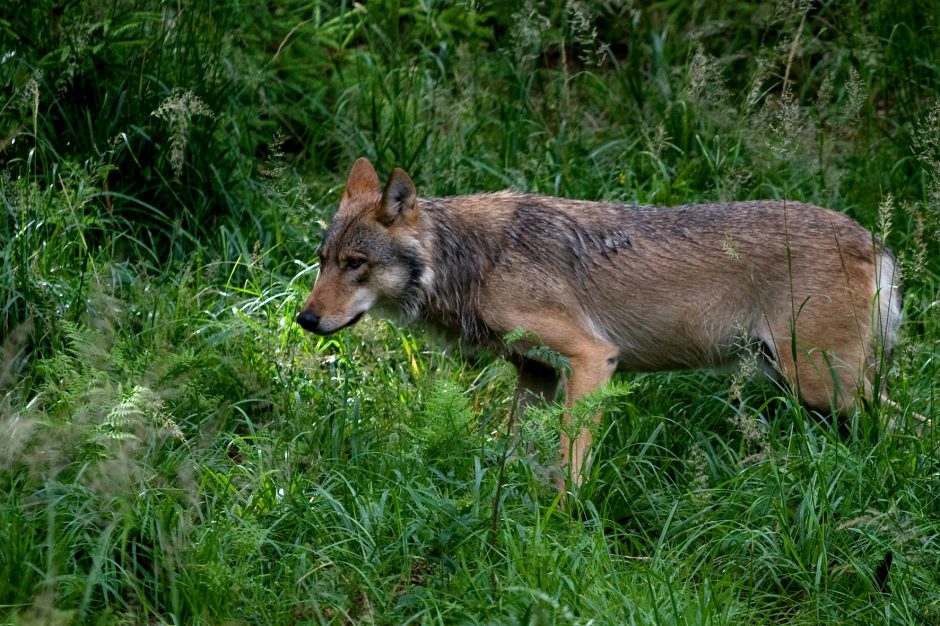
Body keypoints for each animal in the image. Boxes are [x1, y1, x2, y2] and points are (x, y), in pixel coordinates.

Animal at [300, 157, 904, 488]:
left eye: (355, 264)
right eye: (324, 260)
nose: (305, 318)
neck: (472, 260)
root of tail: (873, 241)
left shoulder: (593, 357)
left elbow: (570, 464)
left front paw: (562, 524)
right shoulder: (536, 374)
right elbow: (519, 455)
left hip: (822, 385)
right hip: (803, 384)